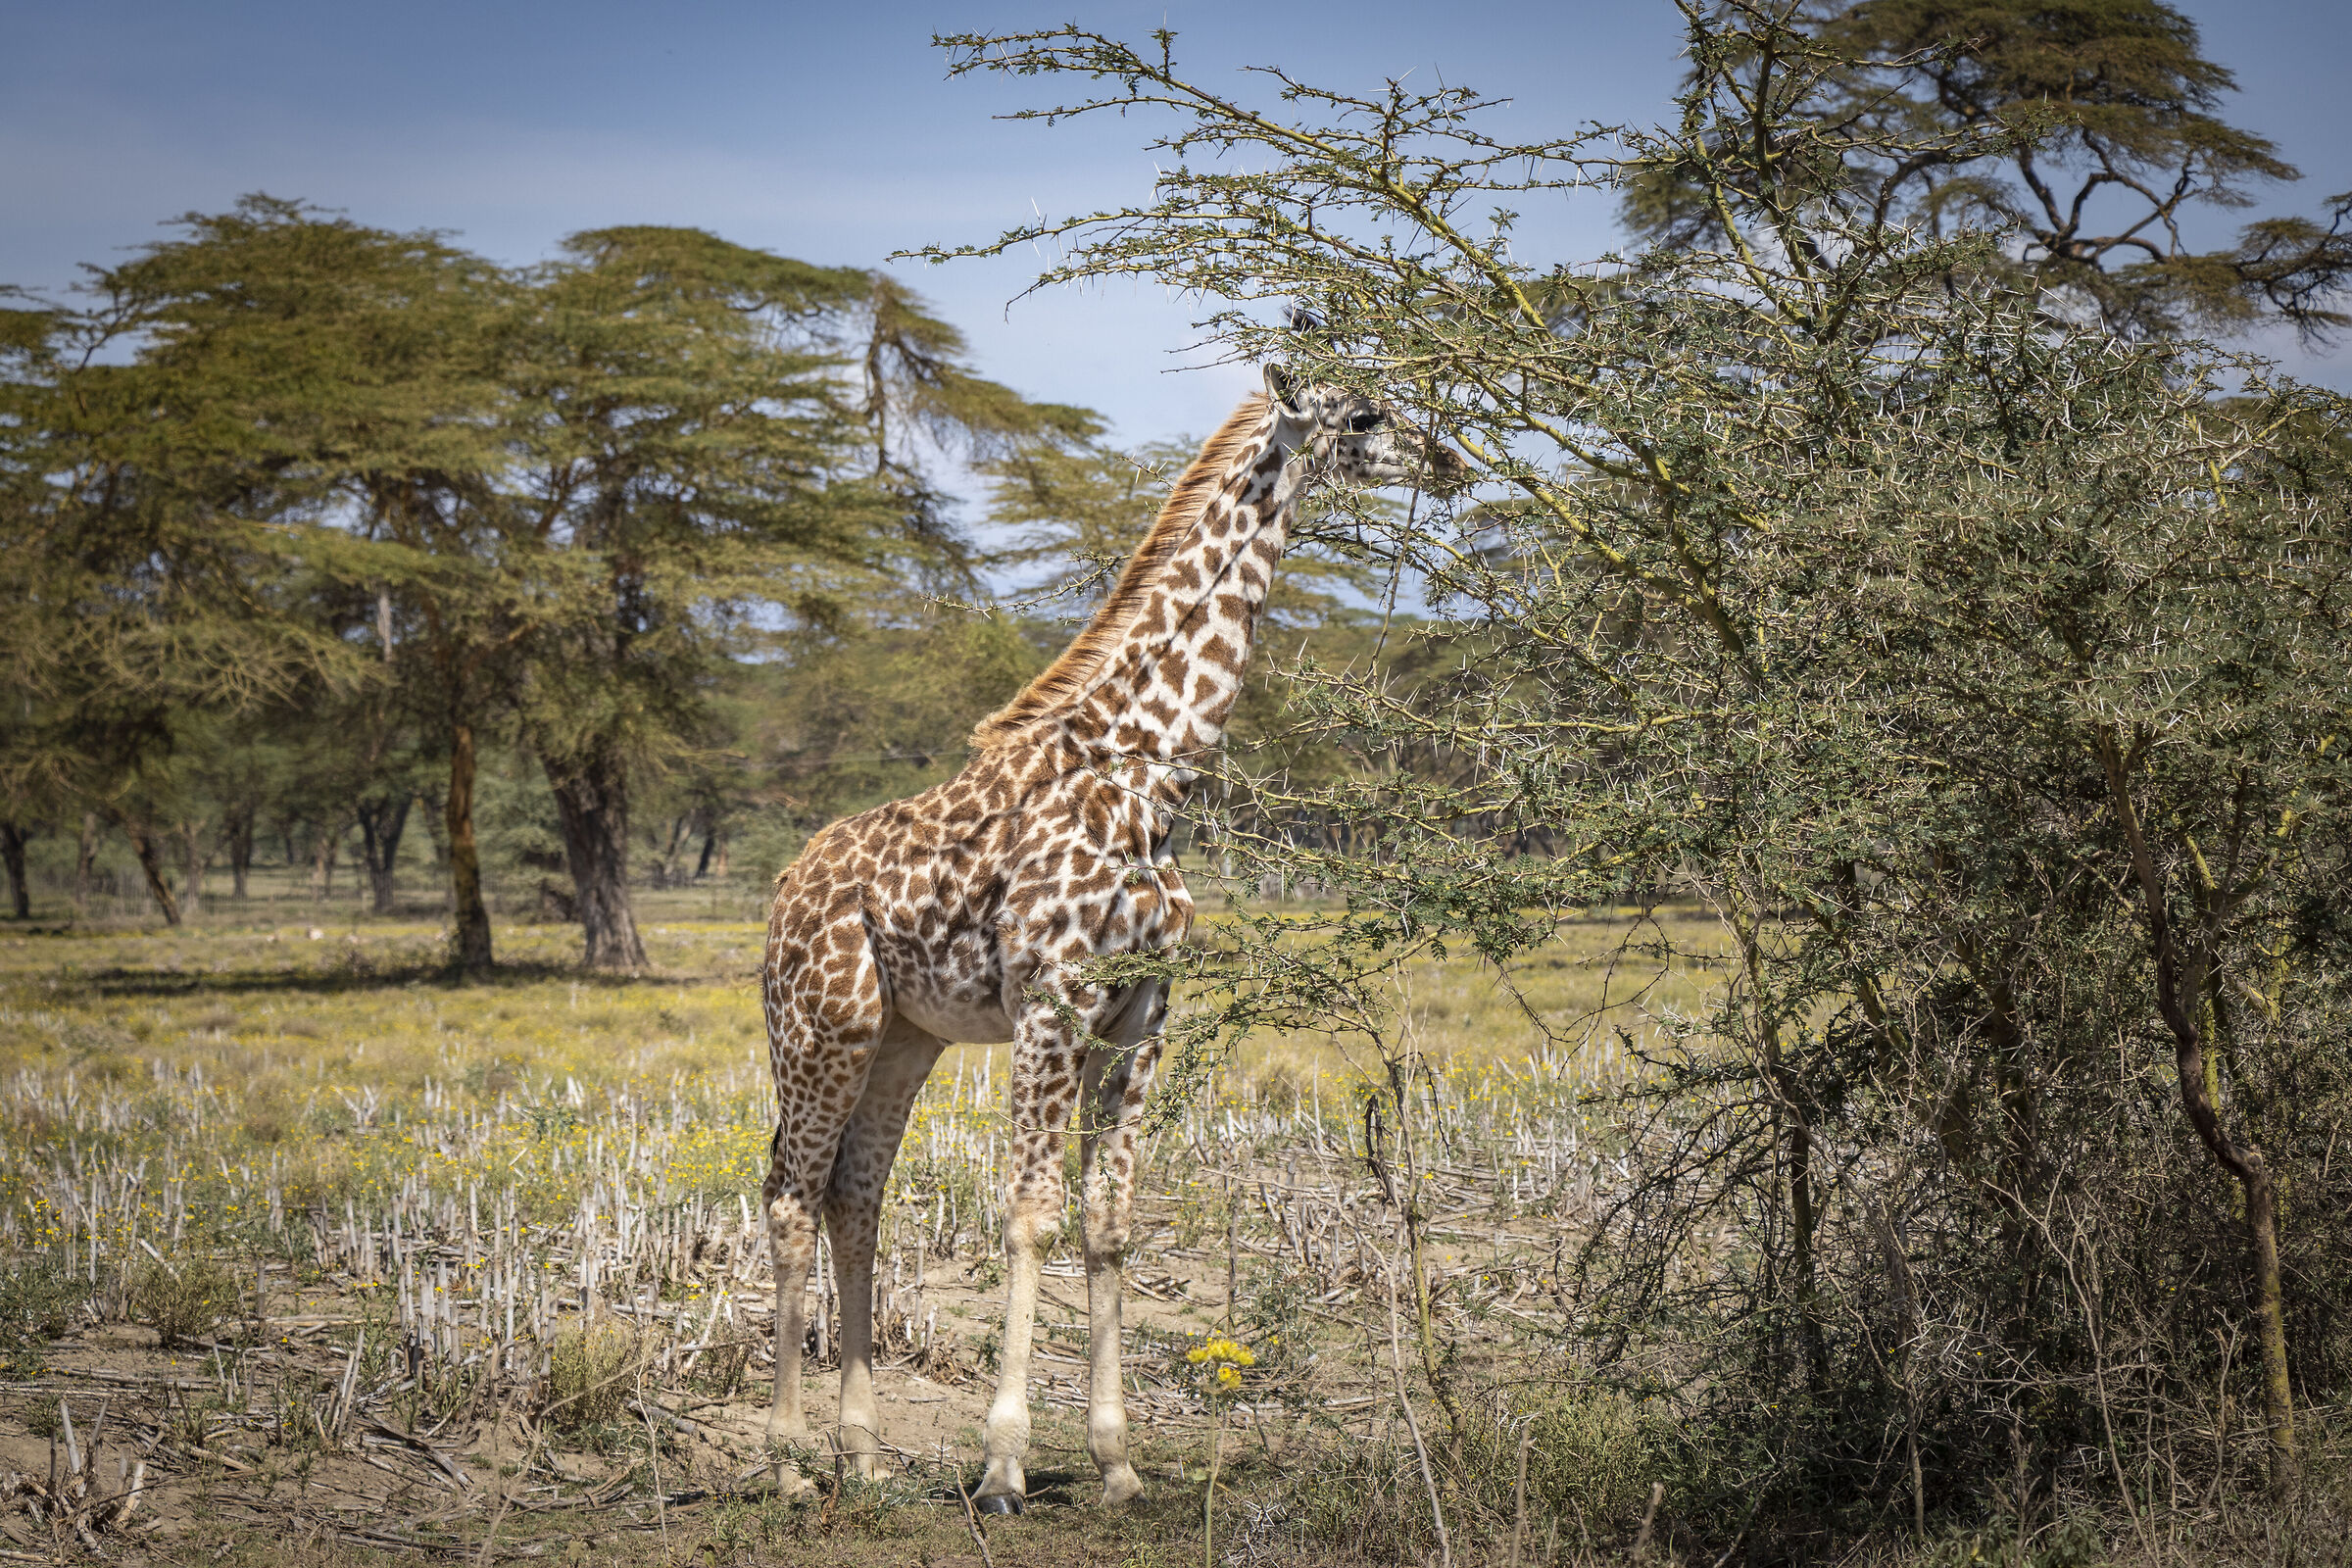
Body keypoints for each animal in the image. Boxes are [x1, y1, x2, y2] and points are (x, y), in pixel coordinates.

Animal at [755, 360, 1457, 1512]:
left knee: (856, 1192)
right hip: (823, 1028)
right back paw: (788, 1466)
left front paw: (1118, 1461)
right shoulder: (1053, 1000)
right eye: (1365, 414)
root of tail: (783, 889)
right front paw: (1002, 1463)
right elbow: (1030, 1212)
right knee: (788, 1194)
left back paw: (862, 1454)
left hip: (906, 1036)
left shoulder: (1141, 1014)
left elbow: (1110, 1219)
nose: (1448, 459)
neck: (1150, 777)